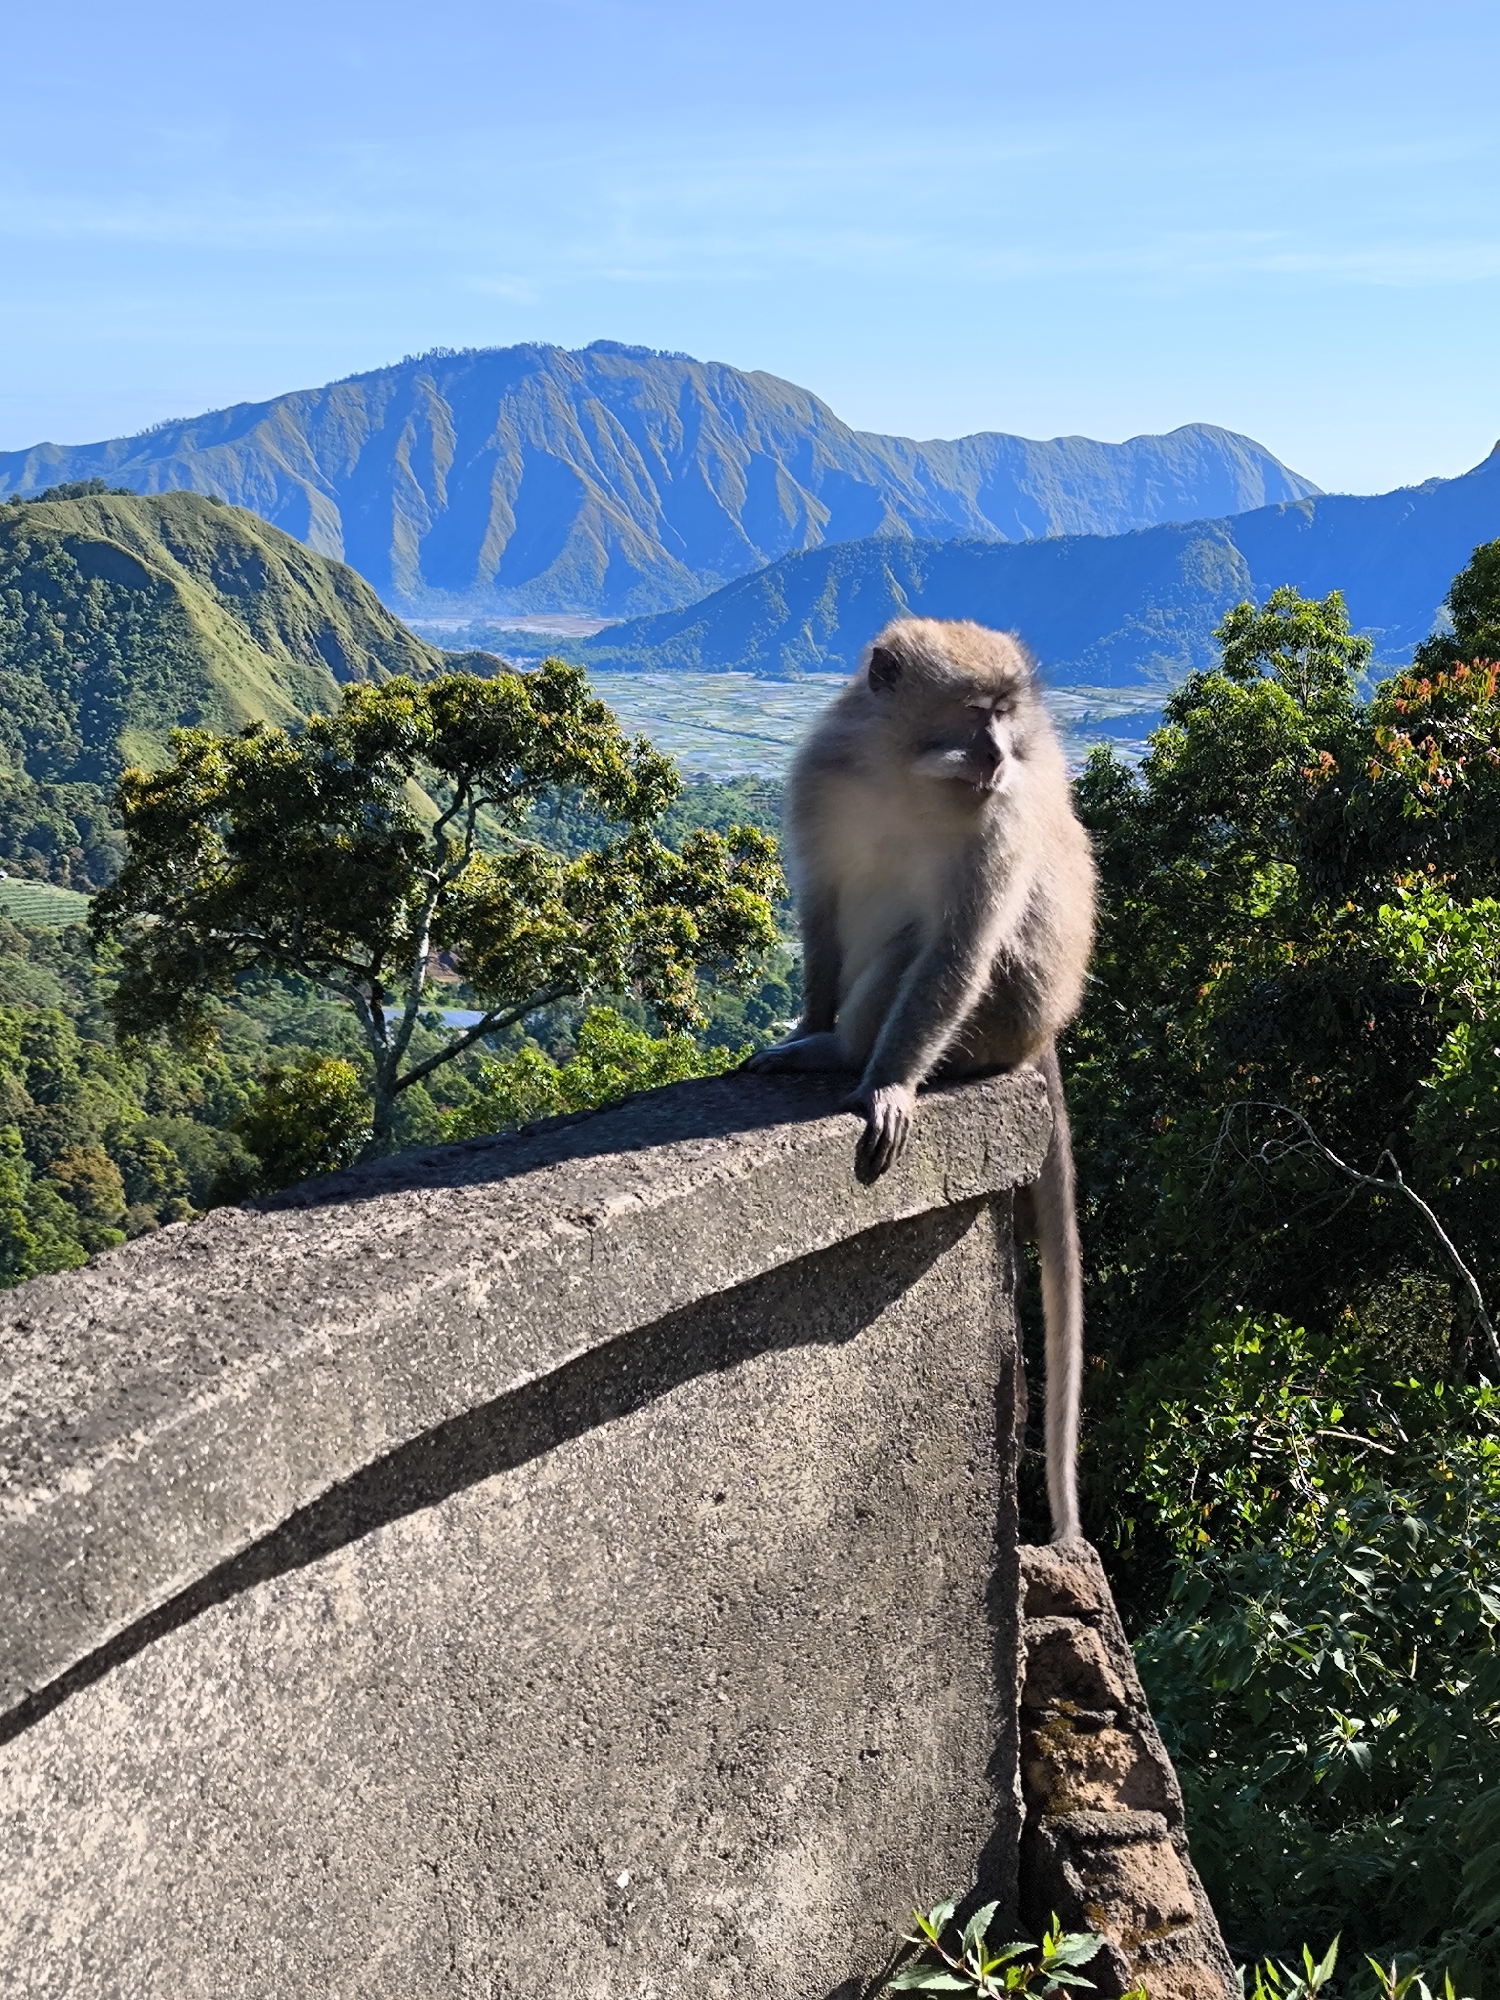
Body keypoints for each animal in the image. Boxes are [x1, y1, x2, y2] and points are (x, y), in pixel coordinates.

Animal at [744, 616, 1097, 1543]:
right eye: (977, 714)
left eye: (1006, 717)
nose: (1004, 755)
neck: (906, 776)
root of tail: (1044, 1029)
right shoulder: (822, 774)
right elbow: (823, 911)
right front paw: (806, 1022)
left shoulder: (998, 823)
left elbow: (955, 952)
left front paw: (887, 1086)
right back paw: (822, 1043)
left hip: (999, 1020)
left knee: (918, 953)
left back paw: (851, 1056)